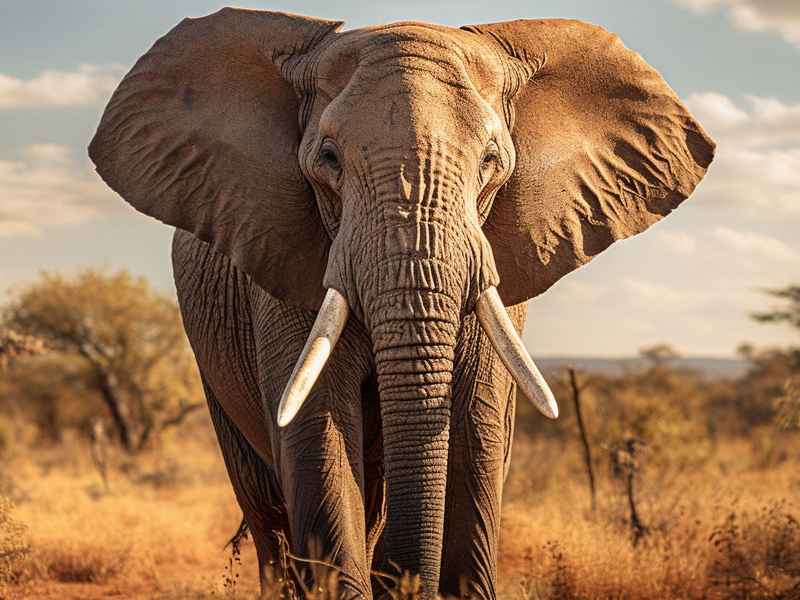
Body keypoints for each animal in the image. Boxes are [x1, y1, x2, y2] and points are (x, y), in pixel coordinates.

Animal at [89, 8, 715, 599]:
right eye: (329, 158)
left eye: (491, 160)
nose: (408, 581)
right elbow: (316, 427)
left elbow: (477, 428)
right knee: (269, 519)